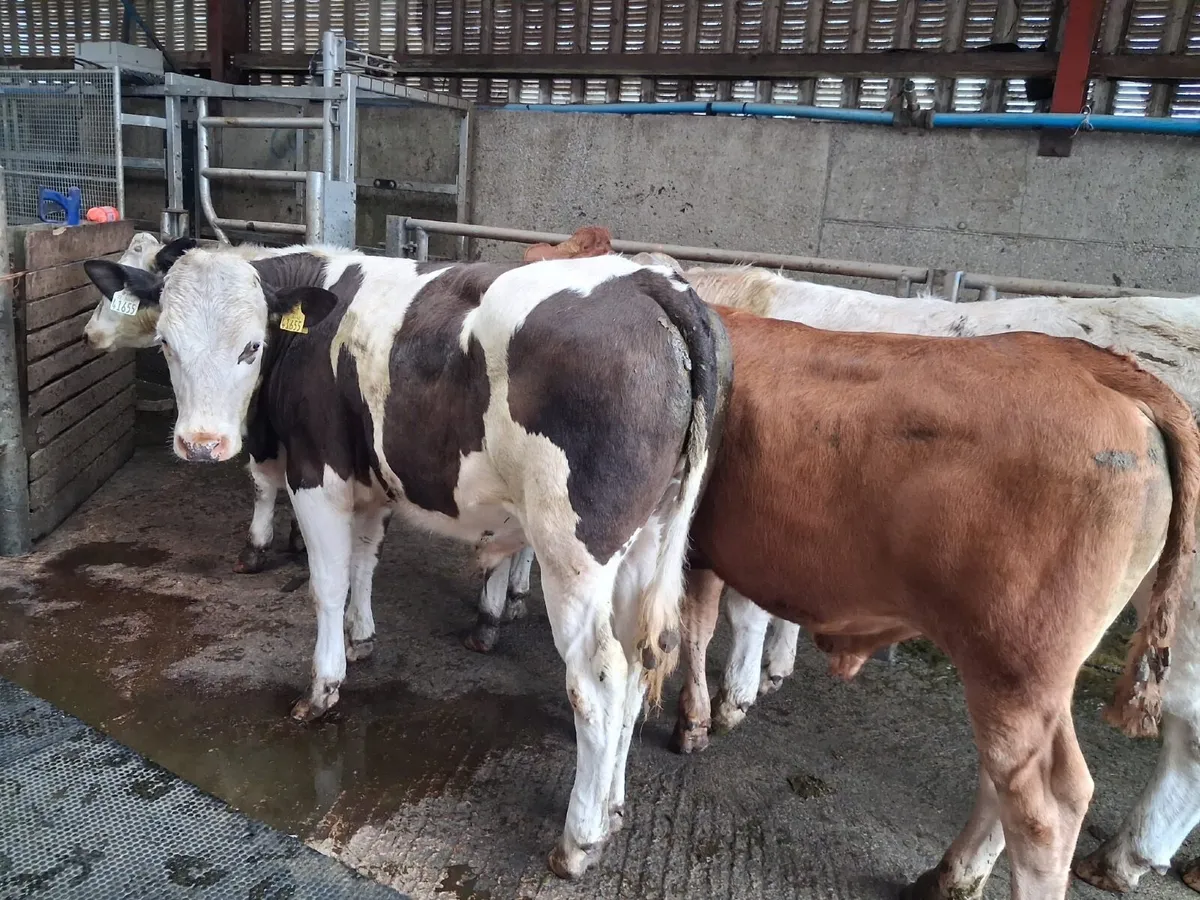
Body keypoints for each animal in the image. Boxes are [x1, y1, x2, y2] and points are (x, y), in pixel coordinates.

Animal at [83, 244, 733, 880]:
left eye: (251, 346)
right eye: (165, 344)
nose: (201, 444)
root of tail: (652, 281)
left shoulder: (318, 472)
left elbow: (326, 583)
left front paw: (323, 688)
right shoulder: (370, 479)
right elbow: (365, 560)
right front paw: (361, 637)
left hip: (574, 548)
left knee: (600, 683)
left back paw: (579, 841)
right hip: (646, 539)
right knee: (637, 666)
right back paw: (614, 807)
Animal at [677, 304, 1199, 899]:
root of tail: (1090, 364)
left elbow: (695, 626)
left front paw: (698, 716)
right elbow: (703, 623)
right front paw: (706, 714)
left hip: (1016, 660)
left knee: (1047, 803)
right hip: (1013, 672)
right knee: (1005, 775)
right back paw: (951, 875)